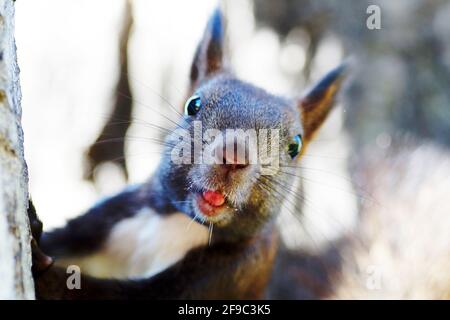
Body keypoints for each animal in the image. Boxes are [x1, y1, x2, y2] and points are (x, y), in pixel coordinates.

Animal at [29, 8, 346, 300]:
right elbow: (64, 240)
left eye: (295, 147)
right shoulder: (112, 216)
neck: (178, 223)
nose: (233, 156)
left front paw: (41, 266)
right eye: (193, 105)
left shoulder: (226, 275)